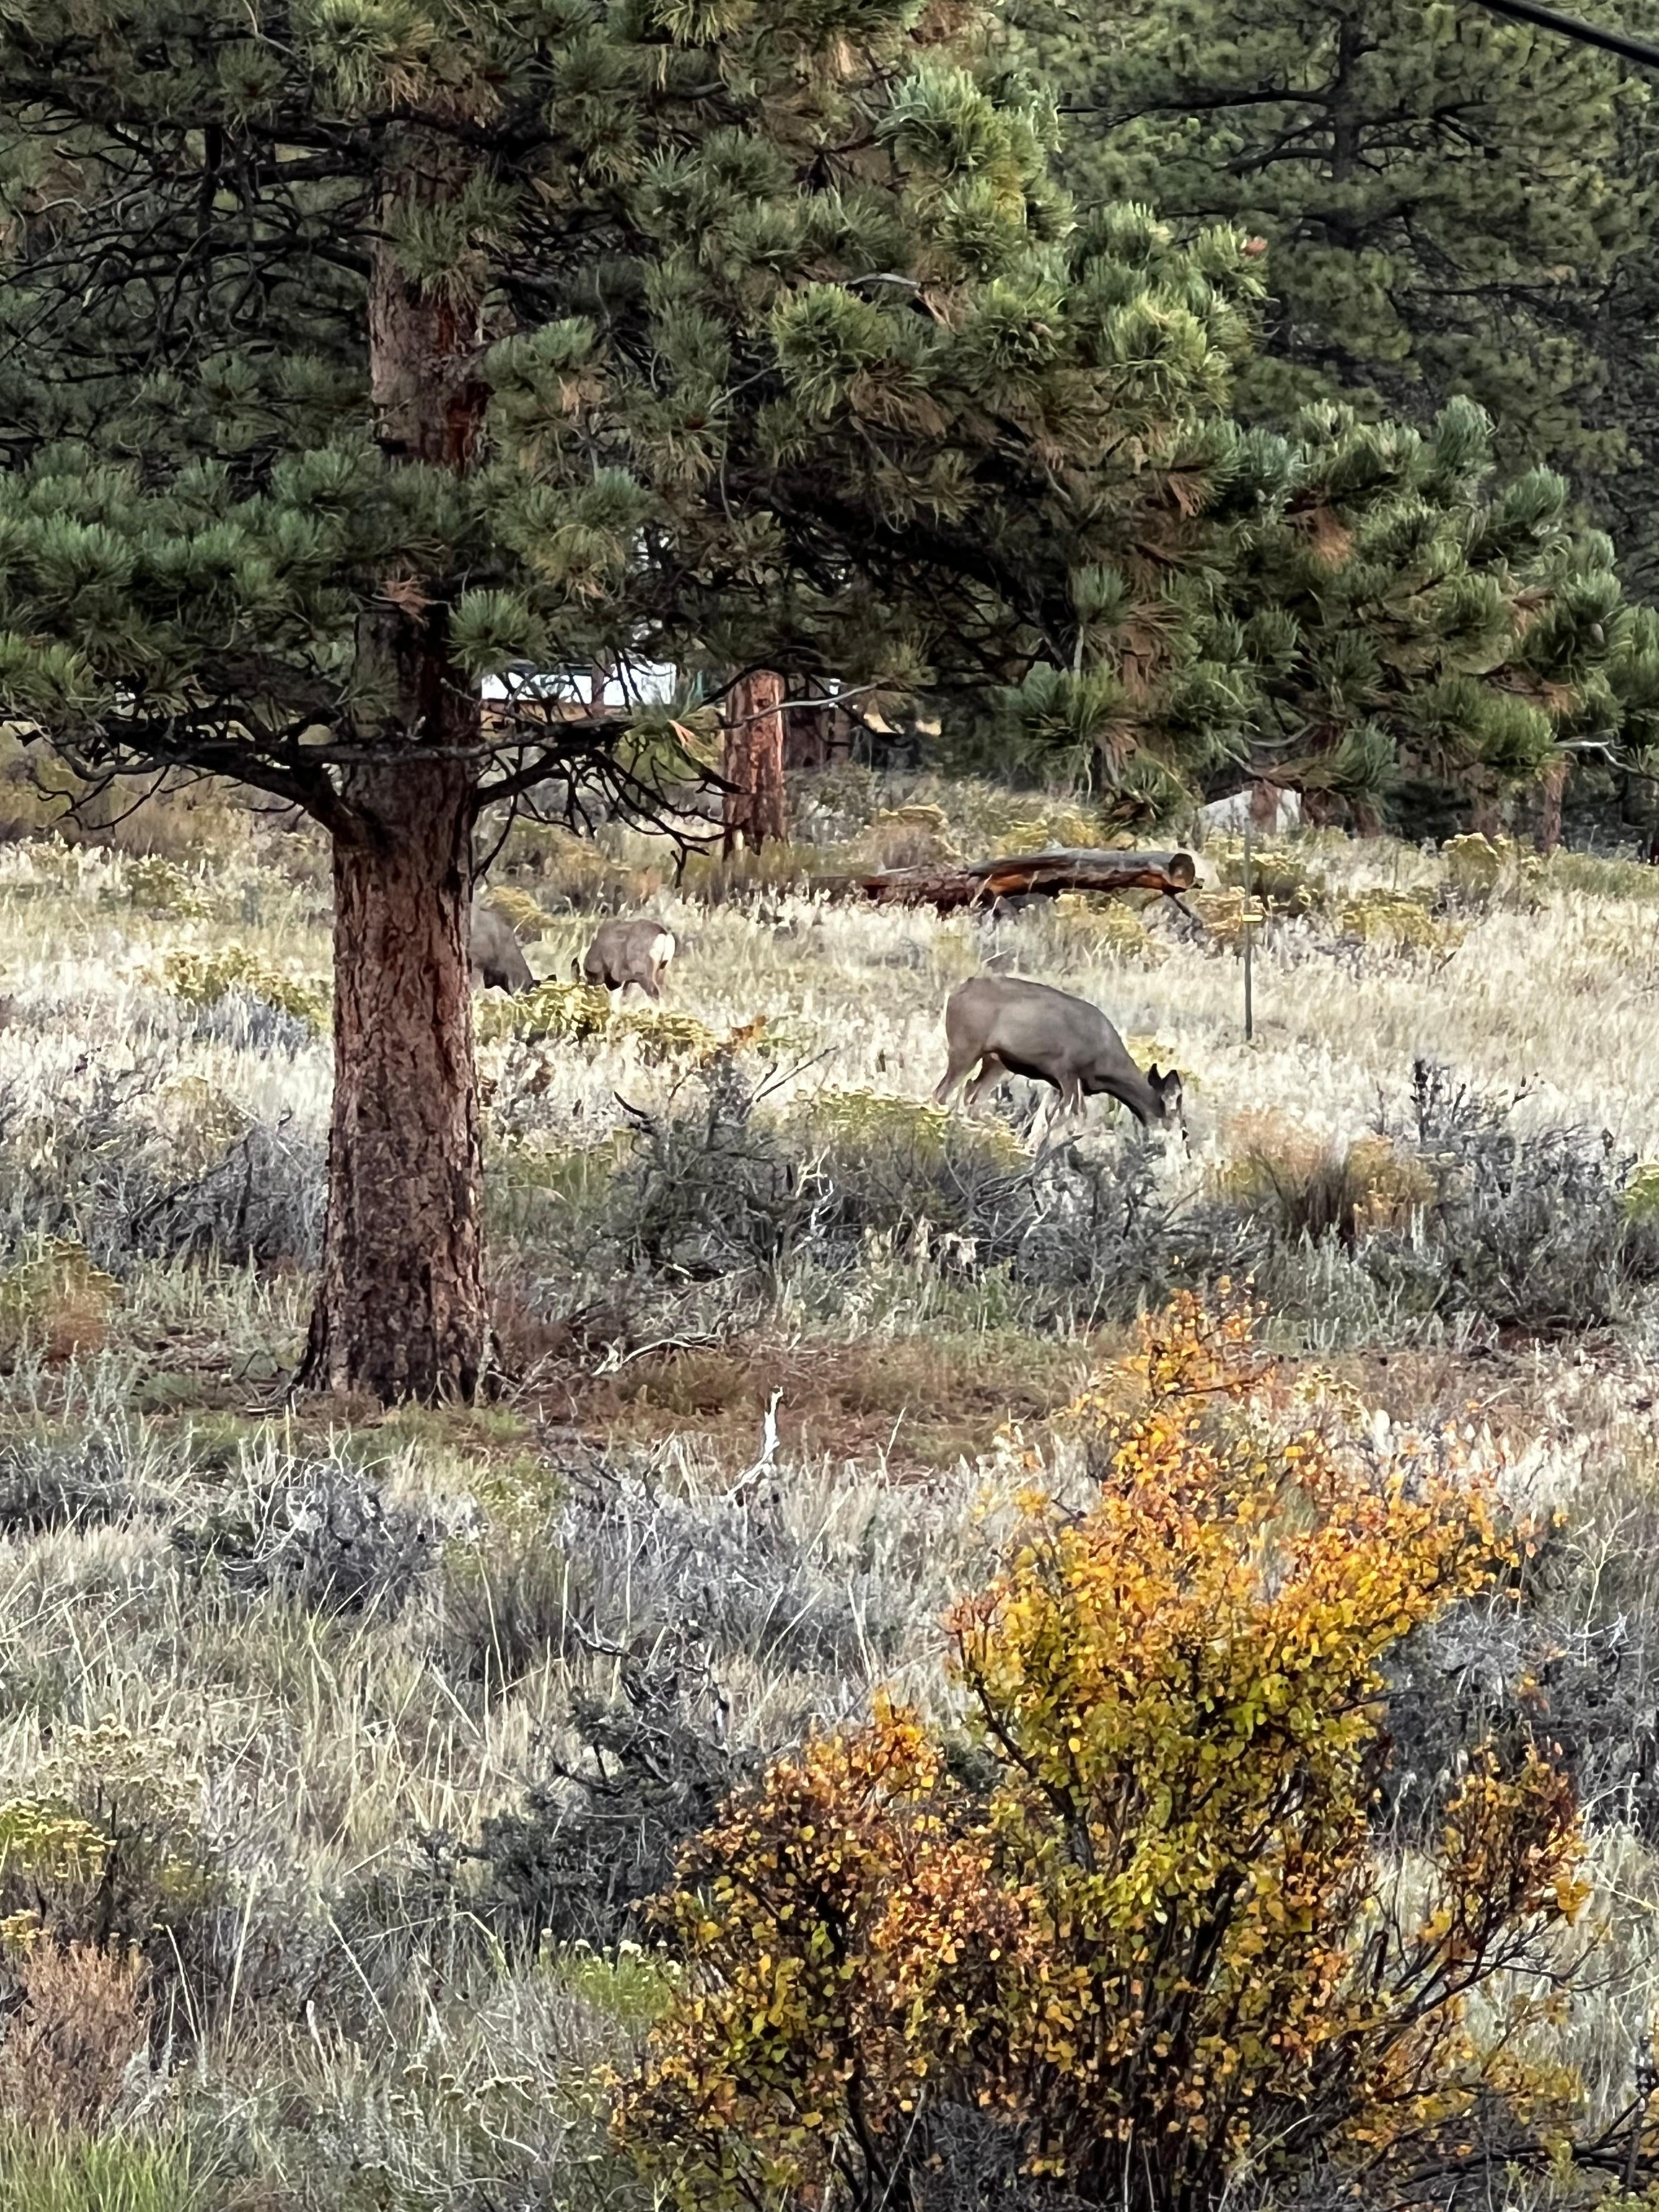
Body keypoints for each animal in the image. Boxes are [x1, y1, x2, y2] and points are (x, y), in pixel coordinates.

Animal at [934, 975, 1183, 1141]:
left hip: (996, 1062)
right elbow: (1067, 1119)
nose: (1183, 1138)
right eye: (1175, 1116)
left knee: (971, 1093)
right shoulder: (1066, 1071)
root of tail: (956, 994)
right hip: (965, 1047)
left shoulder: (1069, 1084)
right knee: (942, 1092)